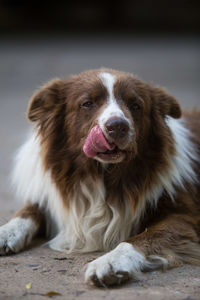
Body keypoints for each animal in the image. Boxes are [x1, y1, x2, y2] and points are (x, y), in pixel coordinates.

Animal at [0, 68, 200, 286]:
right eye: (88, 103)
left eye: (135, 105)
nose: (118, 126)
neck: (100, 174)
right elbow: (29, 211)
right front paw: (5, 232)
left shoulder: (184, 216)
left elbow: (142, 238)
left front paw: (111, 262)